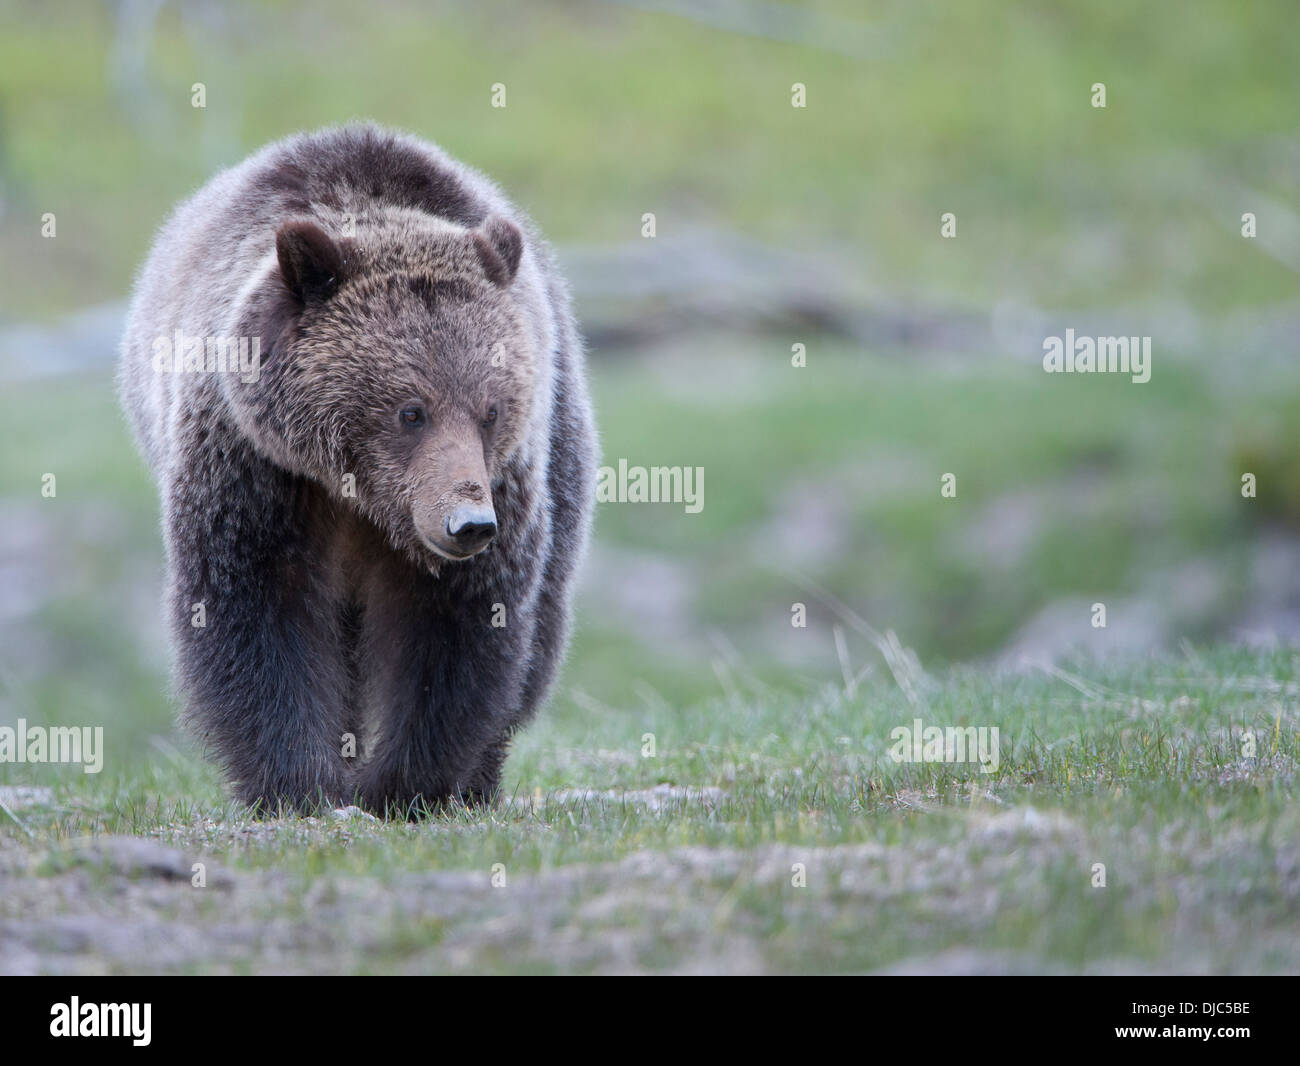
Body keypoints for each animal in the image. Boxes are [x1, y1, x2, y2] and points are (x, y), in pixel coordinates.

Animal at [116, 124, 595, 816]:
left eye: (491, 410)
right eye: (411, 410)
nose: (469, 523)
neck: (356, 493)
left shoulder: (501, 483)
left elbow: (454, 624)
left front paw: (406, 785)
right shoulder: (254, 465)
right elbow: (257, 606)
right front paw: (298, 784)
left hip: (562, 450)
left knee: (543, 624)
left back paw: (480, 777)